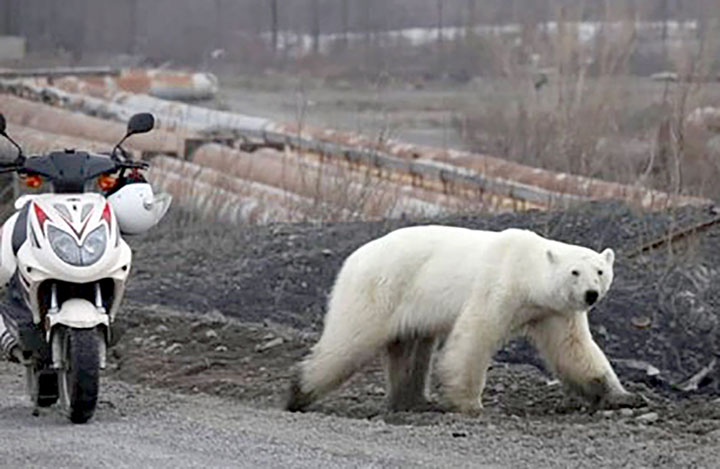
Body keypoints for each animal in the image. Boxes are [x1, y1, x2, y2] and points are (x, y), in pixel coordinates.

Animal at [286, 225, 640, 412]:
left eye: (600, 271)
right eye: (574, 272)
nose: (591, 295)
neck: (527, 271)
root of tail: (353, 258)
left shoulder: (554, 310)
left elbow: (573, 350)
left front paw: (622, 396)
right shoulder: (498, 287)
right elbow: (474, 337)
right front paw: (469, 404)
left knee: (411, 349)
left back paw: (413, 401)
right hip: (380, 289)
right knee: (350, 340)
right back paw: (299, 391)